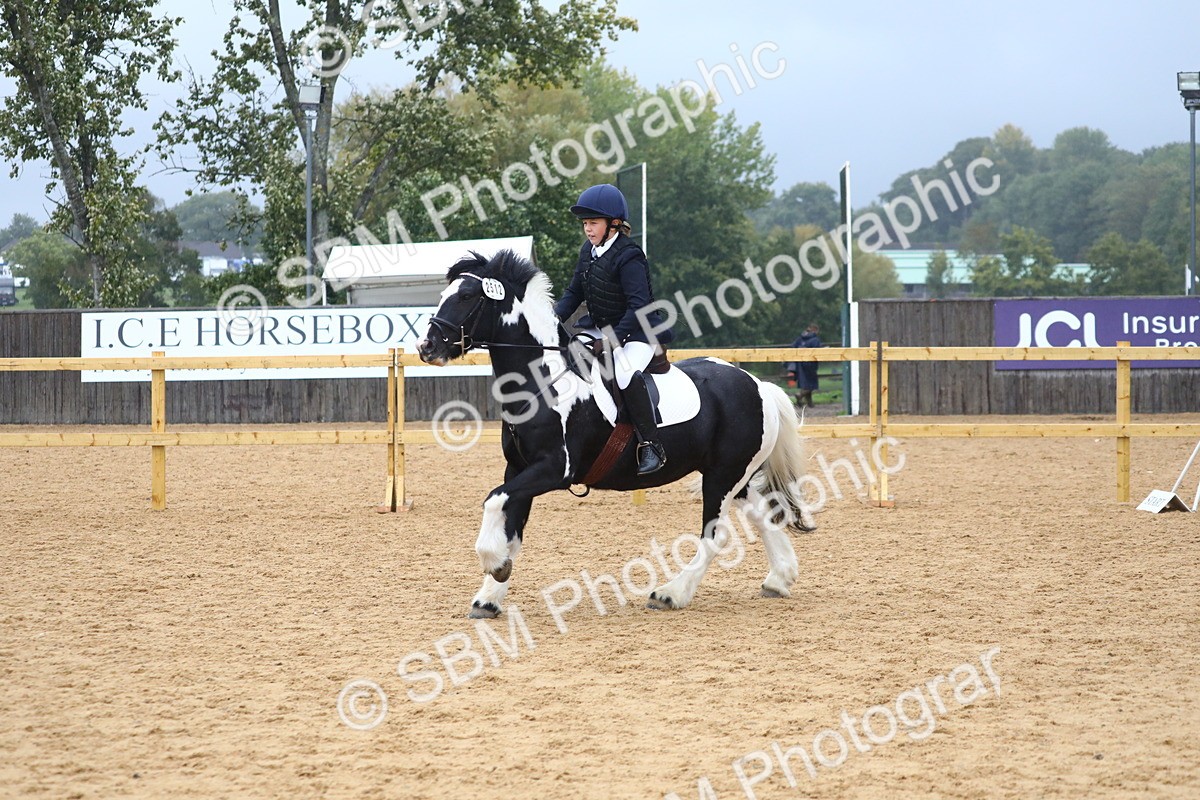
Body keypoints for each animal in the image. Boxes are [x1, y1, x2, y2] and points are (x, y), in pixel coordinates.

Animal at [415, 249, 816, 618]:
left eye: (466, 296)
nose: (426, 346)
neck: (544, 381)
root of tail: (759, 385)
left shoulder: (553, 470)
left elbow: (493, 501)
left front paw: (494, 565)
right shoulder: (519, 469)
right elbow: (510, 526)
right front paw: (490, 594)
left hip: (722, 477)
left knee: (714, 535)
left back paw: (671, 593)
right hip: (734, 474)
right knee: (762, 515)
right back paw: (780, 579)